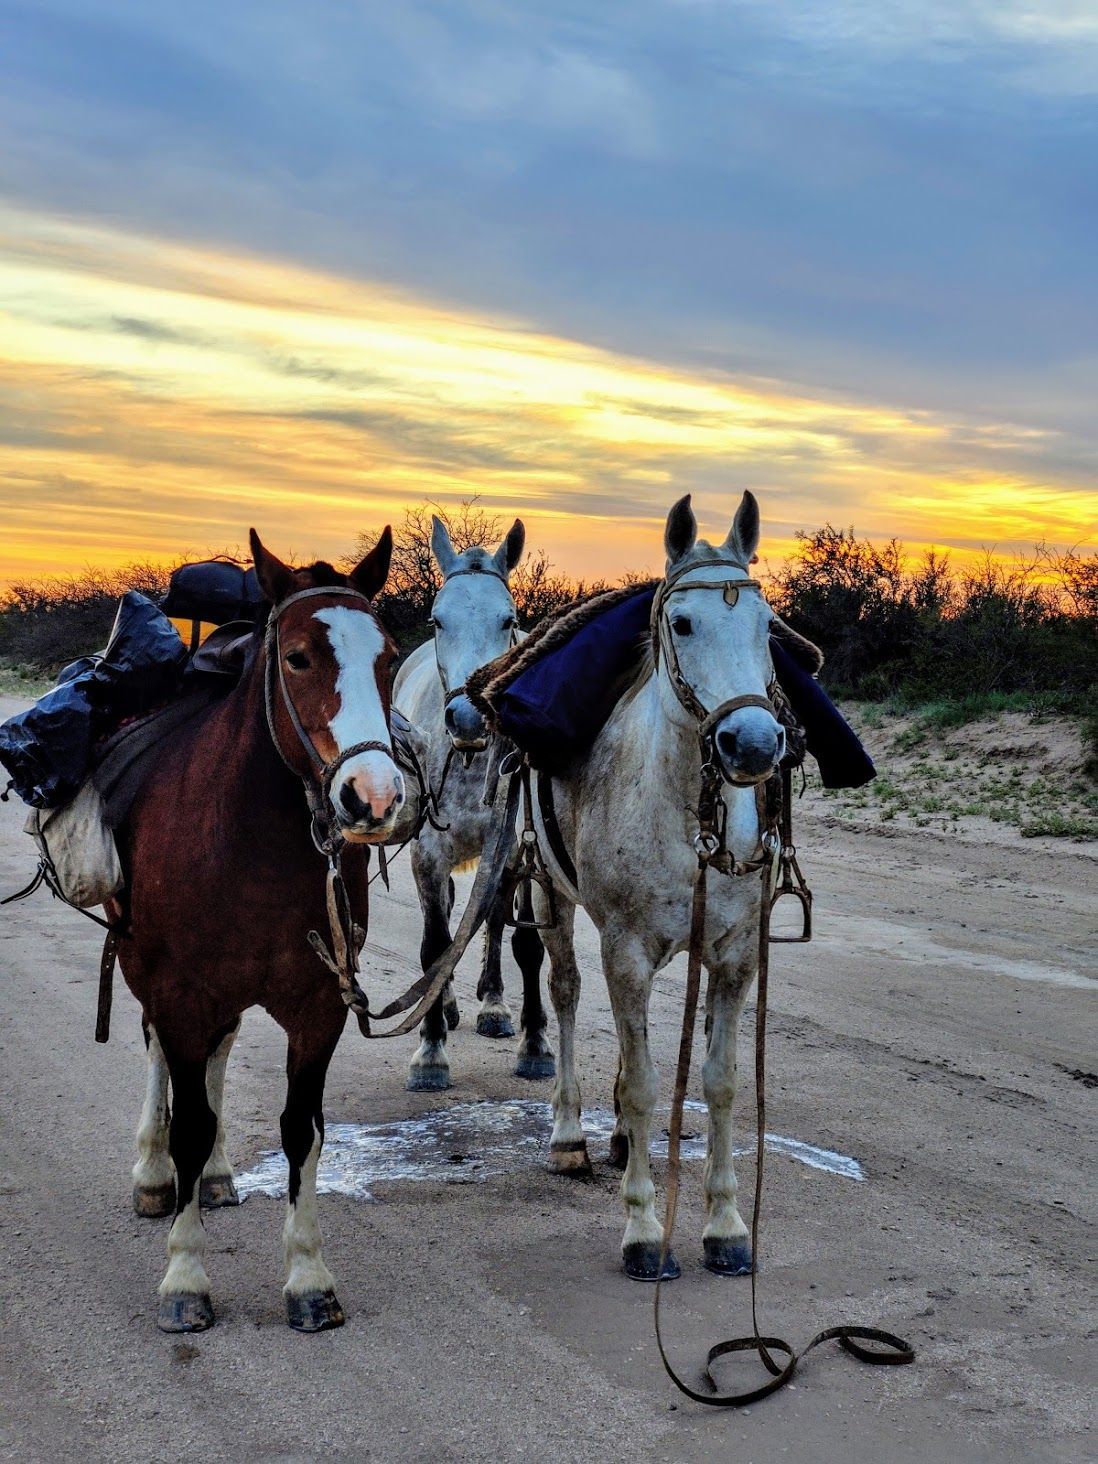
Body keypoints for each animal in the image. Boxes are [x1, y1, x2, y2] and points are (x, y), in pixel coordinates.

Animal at [111, 532, 401, 1335]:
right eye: (298, 657)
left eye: (390, 656)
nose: (373, 798)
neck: (250, 842)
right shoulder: (179, 990)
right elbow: (187, 1121)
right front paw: (184, 1279)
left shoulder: (320, 1004)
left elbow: (302, 1129)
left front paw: (308, 1278)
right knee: (160, 1054)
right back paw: (155, 1177)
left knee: (217, 1055)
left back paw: (211, 1177)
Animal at [392, 521, 553, 1095]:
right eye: (438, 619)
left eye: (509, 620)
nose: (467, 716)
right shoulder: (426, 855)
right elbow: (435, 944)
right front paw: (430, 1052)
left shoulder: (517, 851)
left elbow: (525, 943)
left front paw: (534, 1043)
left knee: (493, 920)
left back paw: (493, 1004)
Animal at [535, 491, 784, 1282]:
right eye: (683, 623)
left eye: (767, 626)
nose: (754, 745)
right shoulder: (626, 950)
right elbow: (648, 1085)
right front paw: (645, 1230)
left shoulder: (734, 956)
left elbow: (720, 1079)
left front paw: (727, 1227)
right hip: (551, 899)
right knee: (565, 992)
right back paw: (571, 1135)